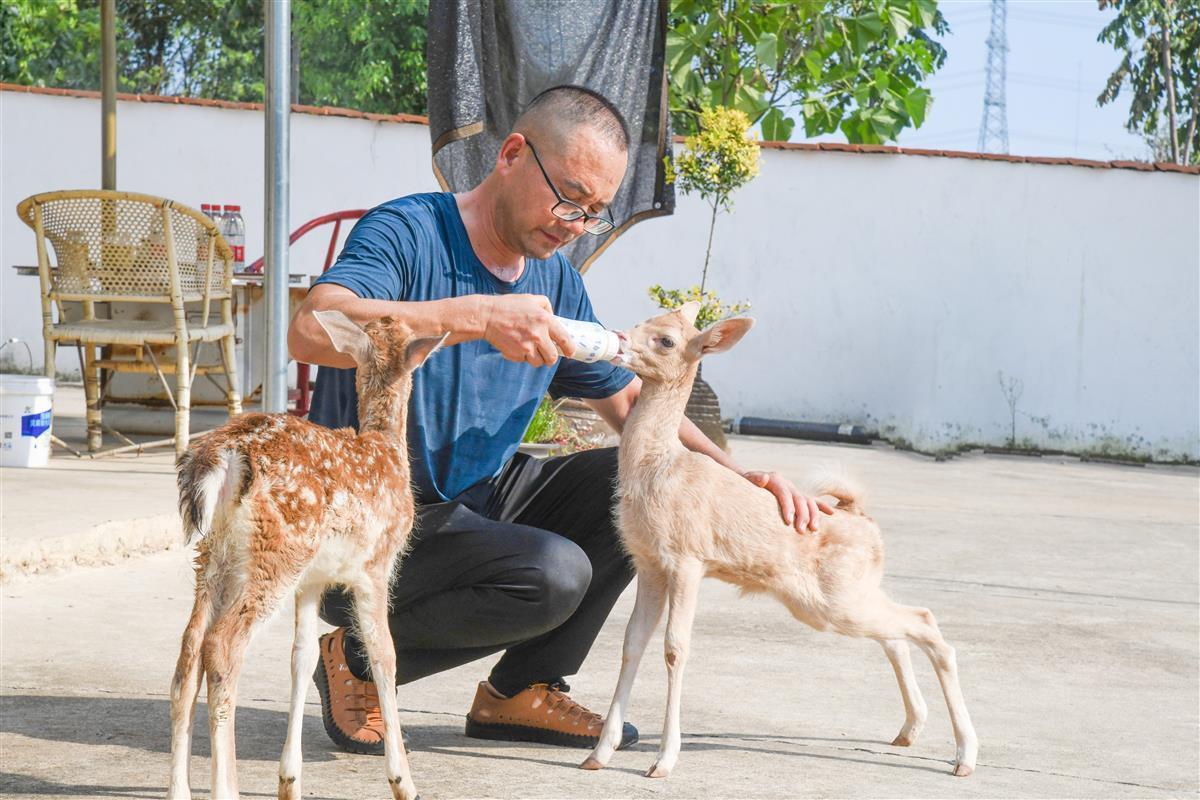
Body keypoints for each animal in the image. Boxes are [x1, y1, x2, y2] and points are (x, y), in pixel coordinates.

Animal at [169, 311, 446, 800]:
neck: (387, 448)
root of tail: (224, 456)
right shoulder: (375, 568)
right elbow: (384, 656)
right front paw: (403, 781)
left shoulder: (313, 580)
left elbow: (302, 658)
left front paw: (289, 780)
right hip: (276, 553)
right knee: (221, 646)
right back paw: (225, 788)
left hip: (215, 556)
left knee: (189, 649)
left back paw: (179, 791)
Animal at [580, 304, 974, 782]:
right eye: (645, 320)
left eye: (667, 340)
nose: (618, 338)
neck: (659, 469)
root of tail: (864, 520)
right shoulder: (649, 562)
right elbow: (631, 644)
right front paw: (599, 754)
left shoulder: (688, 557)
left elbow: (675, 648)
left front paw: (664, 761)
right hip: (835, 597)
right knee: (900, 632)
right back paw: (909, 730)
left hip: (837, 596)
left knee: (926, 624)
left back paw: (965, 756)